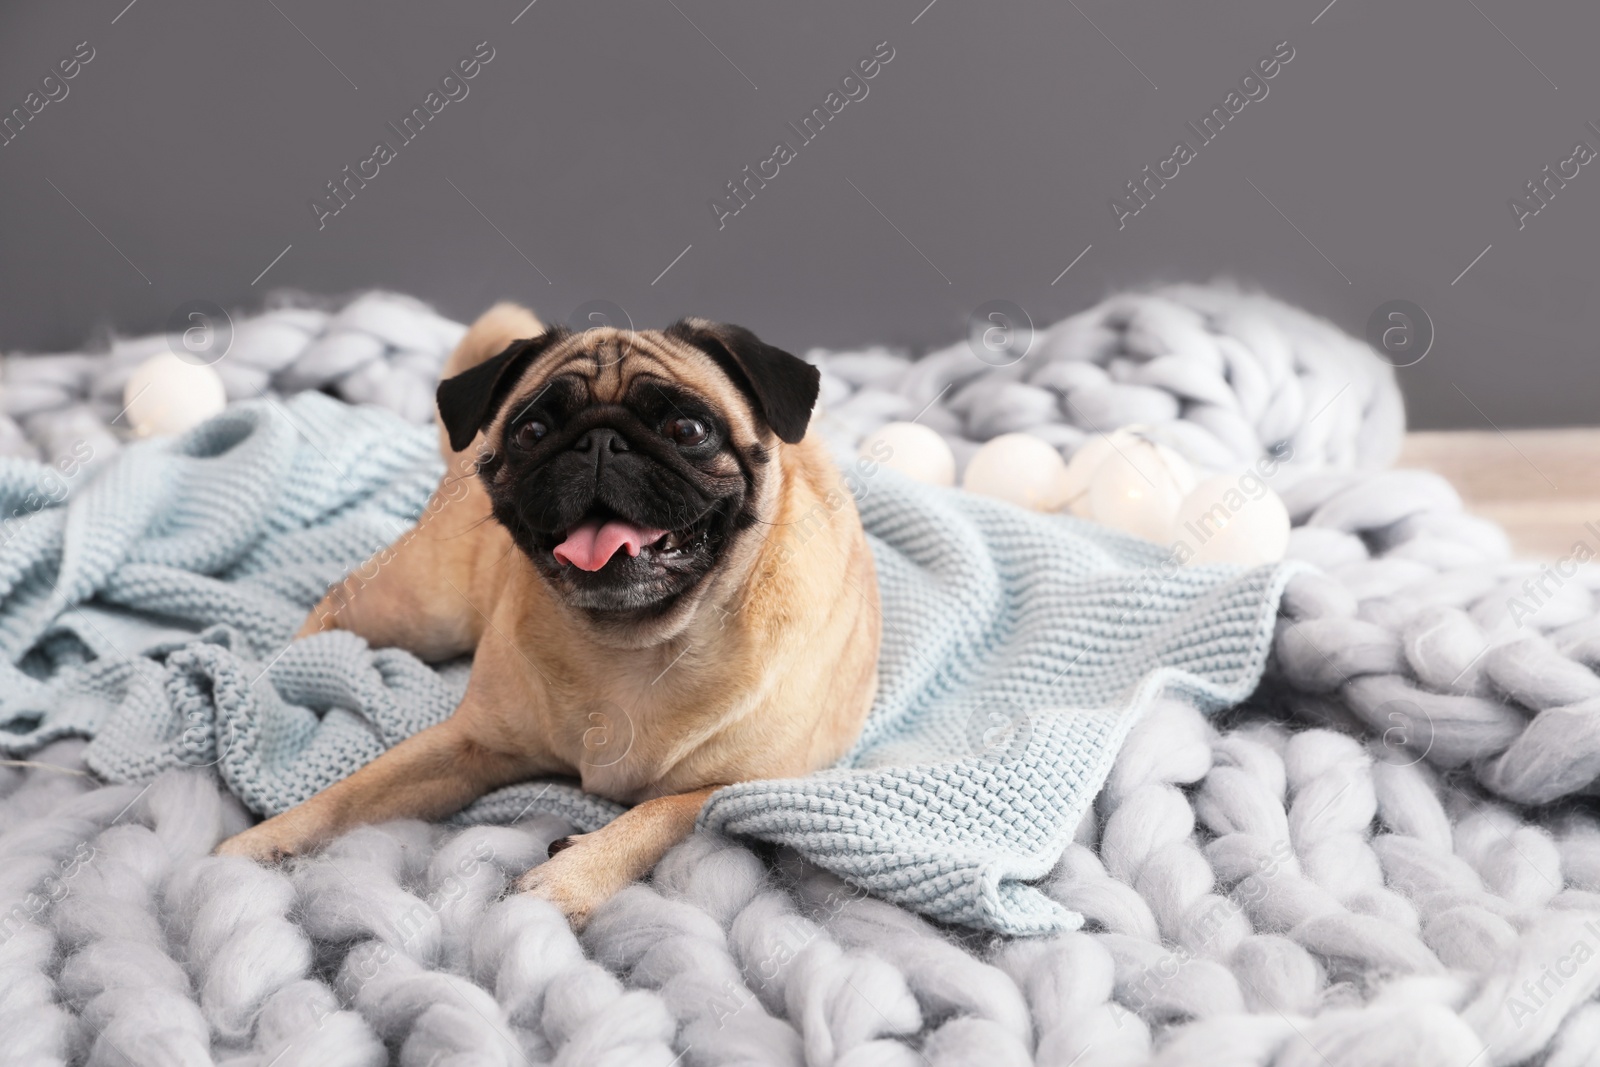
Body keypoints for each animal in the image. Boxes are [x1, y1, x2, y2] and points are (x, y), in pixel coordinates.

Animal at [217, 302, 883, 927]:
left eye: (688, 427)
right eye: (532, 430)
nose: (600, 441)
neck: (638, 642)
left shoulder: (752, 788)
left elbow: (662, 812)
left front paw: (571, 875)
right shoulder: (465, 745)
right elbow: (348, 794)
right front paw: (260, 843)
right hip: (424, 611)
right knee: (336, 600)